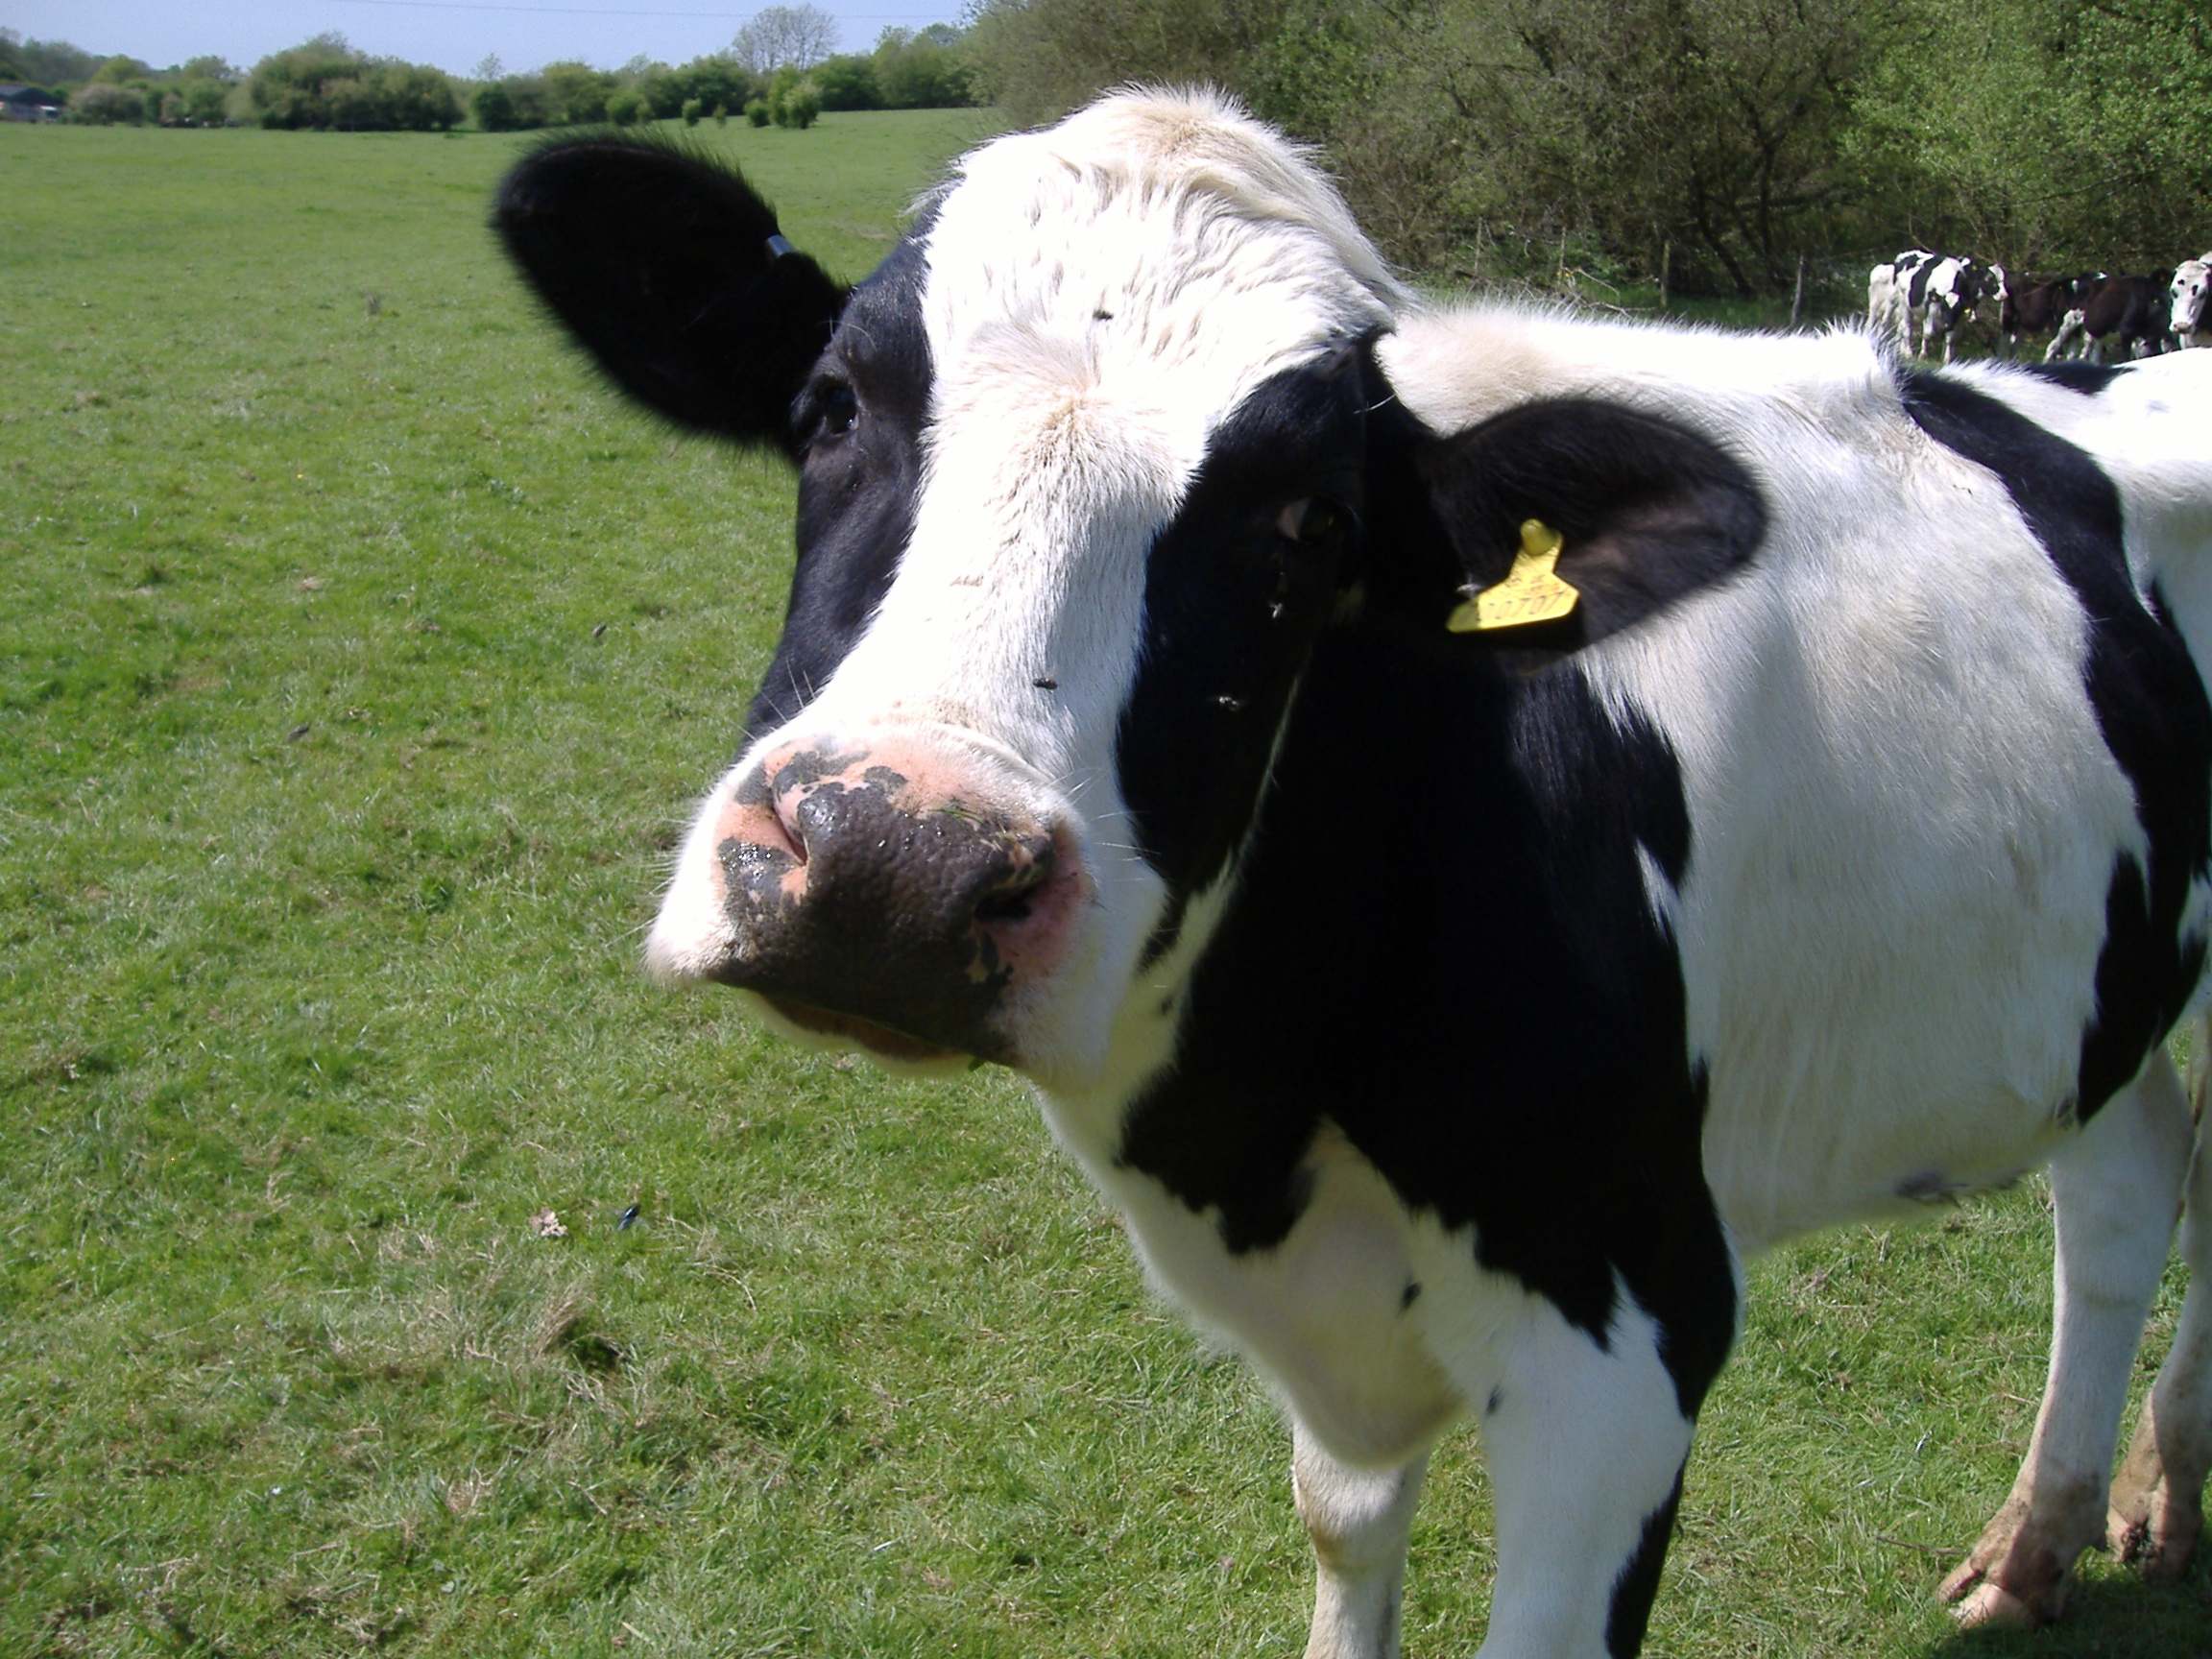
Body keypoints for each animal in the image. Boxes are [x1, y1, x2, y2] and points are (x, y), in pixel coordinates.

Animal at [497, 91, 2212, 1658]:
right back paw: (2044, 1542)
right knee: (2128, 1184)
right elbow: (1342, 1520)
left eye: (1309, 519)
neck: (1254, 1123)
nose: (893, 867)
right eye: (832, 404)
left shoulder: (1631, 1324)